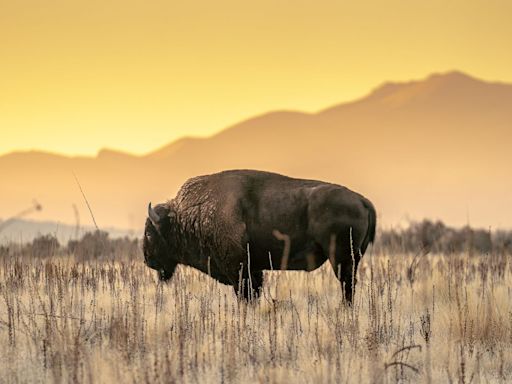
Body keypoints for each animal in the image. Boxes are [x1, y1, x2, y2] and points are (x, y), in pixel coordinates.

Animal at [142, 169, 374, 304]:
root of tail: (361, 200)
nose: (147, 260)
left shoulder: (239, 270)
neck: (190, 214)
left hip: (341, 259)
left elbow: (245, 295)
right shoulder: (253, 269)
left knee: (347, 285)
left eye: (150, 234)